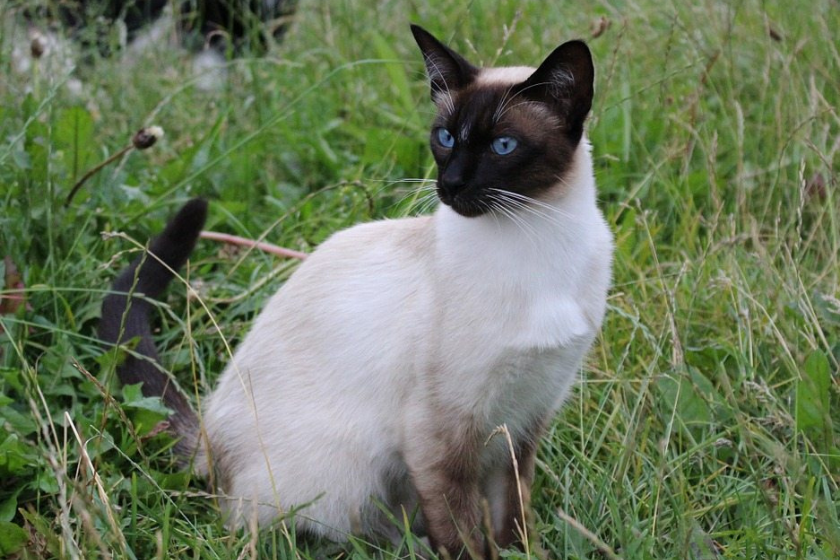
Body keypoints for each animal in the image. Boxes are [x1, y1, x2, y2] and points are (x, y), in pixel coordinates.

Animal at [98, 24, 612, 556]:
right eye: (445, 137)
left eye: (503, 146)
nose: (449, 184)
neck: (536, 239)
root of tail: (208, 443)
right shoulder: (442, 435)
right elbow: (465, 536)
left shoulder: (526, 418)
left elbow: (512, 519)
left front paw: (523, 552)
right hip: (350, 479)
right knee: (336, 532)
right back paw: (405, 545)